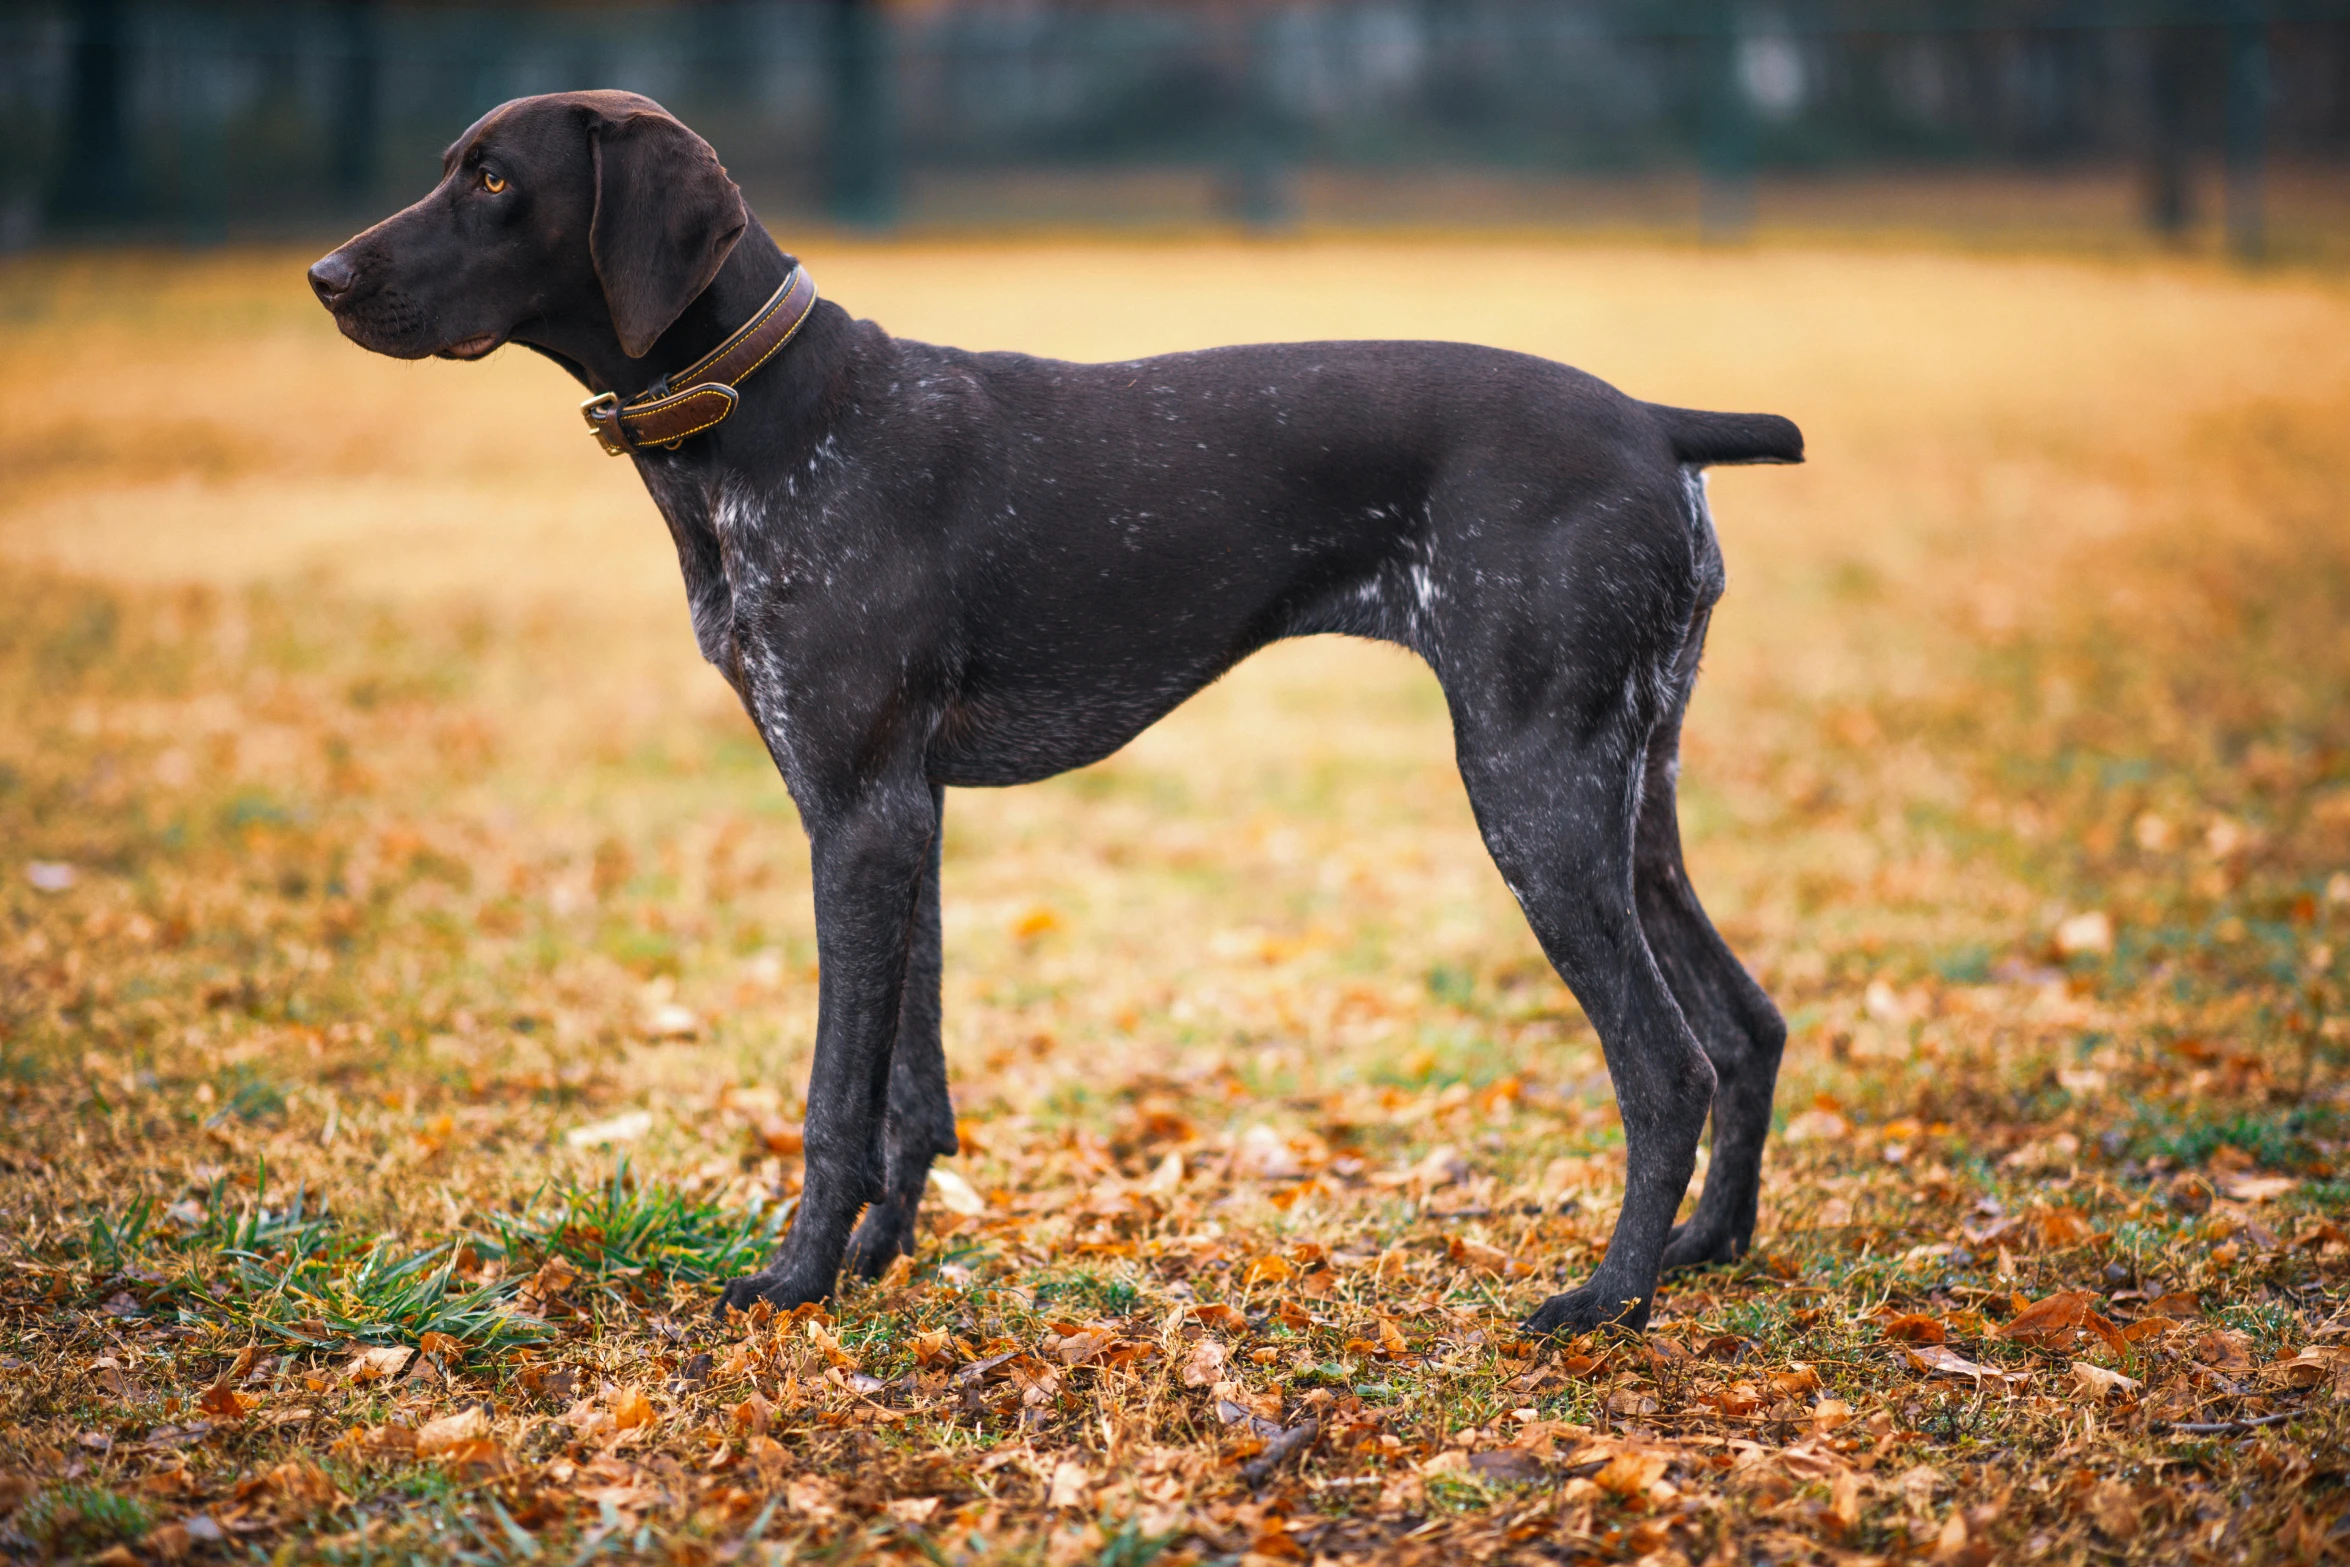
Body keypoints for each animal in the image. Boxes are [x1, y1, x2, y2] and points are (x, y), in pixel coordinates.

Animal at [303, 88, 1785, 1334]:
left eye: (494, 178)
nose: (325, 277)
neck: (768, 417)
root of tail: (1655, 424)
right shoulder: (899, 811)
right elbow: (911, 1081)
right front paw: (873, 1258)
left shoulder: (857, 814)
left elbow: (836, 1092)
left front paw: (794, 1279)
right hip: (1621, 795)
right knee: (1746, 1024)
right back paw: (1706, 1246)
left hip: (1530, 789)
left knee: (1666, 1063)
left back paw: (1609, 1296)